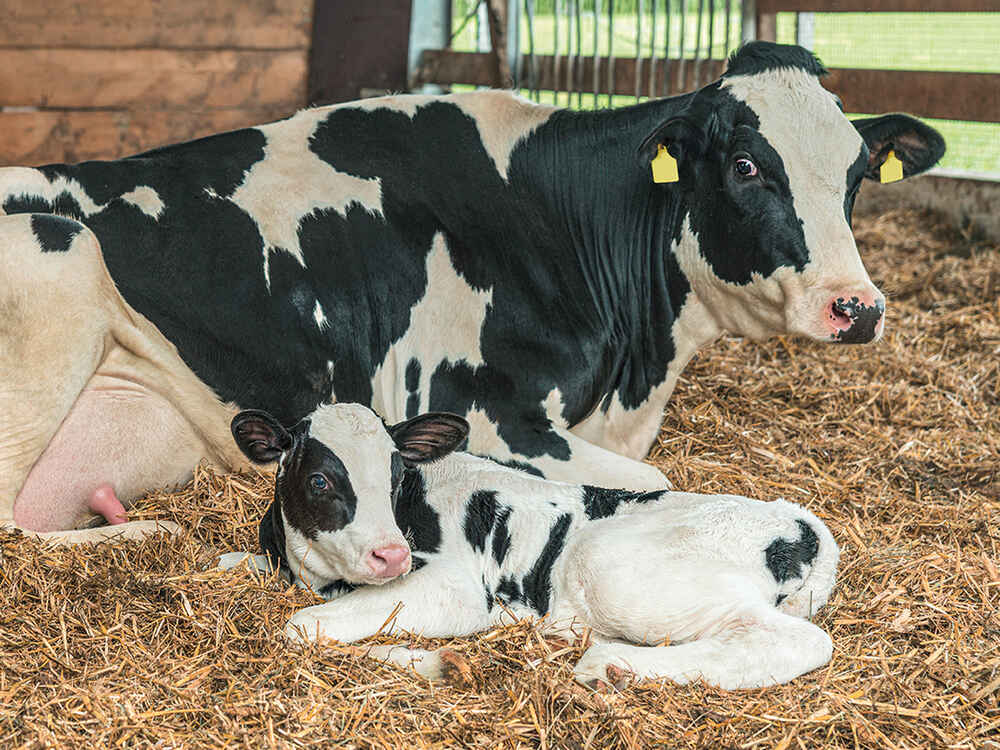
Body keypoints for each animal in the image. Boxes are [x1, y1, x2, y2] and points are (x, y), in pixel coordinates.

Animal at [221, 406, 844, 692]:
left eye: (397, 474)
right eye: (319, 480)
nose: (391, 554)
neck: (316, 573)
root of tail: (804, 526)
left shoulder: (457, 585)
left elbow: (301, 628)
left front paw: (440, 662)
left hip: (618, 570)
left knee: (795, 641)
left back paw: (610, 666)